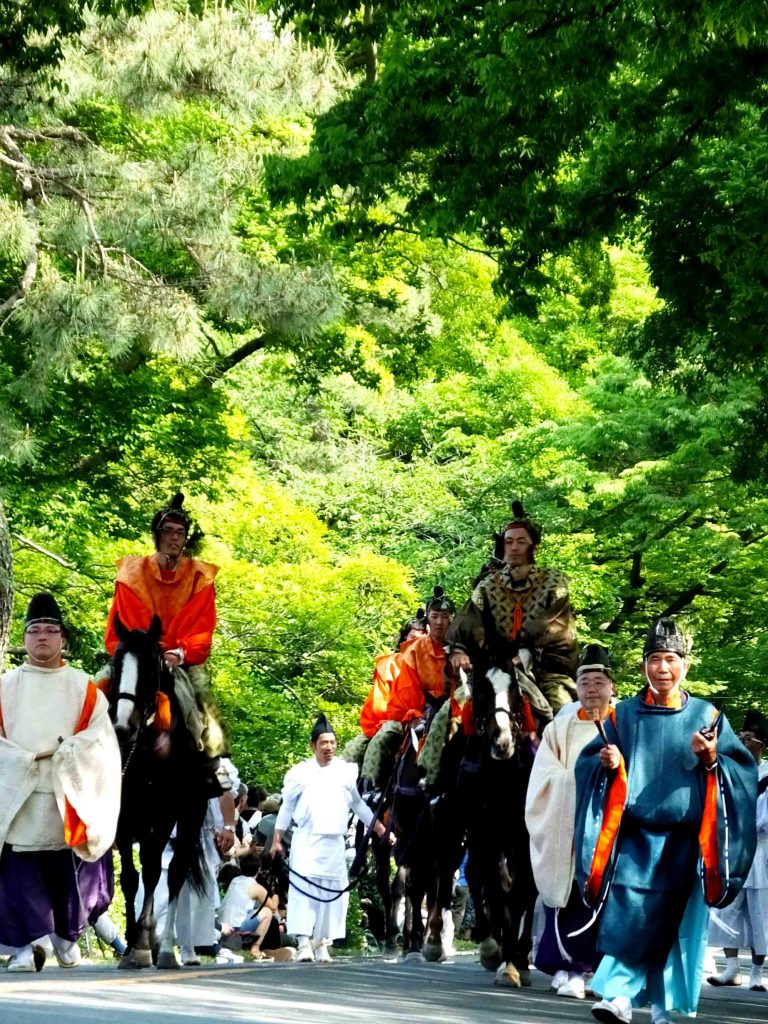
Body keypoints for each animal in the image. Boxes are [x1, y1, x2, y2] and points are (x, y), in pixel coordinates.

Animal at [107, 610, 210, 970]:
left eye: (152, 667)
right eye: (116, 664)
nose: (122, 727)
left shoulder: (164, 813)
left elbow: (153, 870)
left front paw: (141, 944)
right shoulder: (123, 817)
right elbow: (130, 877)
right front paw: (131, 945)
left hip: (191, 813)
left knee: (175, 871)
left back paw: (163, 949)